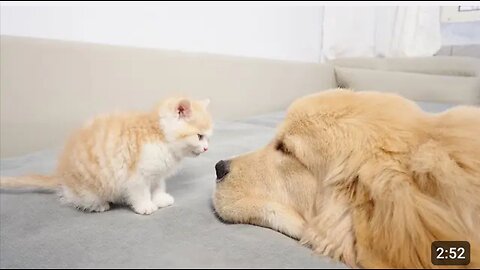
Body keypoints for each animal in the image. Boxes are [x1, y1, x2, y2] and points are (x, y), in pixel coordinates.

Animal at [0, 97, 214, 215]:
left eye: (208, 137)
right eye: (199, 136)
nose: (206, 149)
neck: (160, 135)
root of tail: (61, 177)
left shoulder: (157, 173)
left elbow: (158, 186)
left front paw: (160, 199)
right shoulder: (137, 174)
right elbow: (140, 191)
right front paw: (146, 206)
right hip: (87, 188)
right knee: (76, 199)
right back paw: (99, 205)